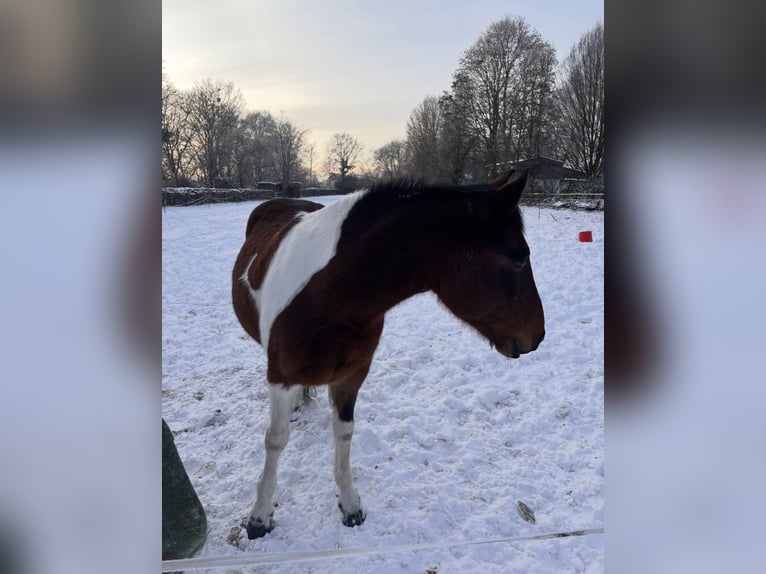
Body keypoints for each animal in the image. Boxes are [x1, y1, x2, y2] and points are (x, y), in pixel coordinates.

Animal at [231, 169, 545, 539]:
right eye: (519, 258)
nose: (538, 336)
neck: (328, 296)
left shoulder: (352, 375)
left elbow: (344, 433)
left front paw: (349, 504)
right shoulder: (280, 377)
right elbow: (276, 440)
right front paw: (260, 515)